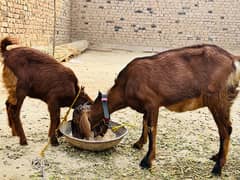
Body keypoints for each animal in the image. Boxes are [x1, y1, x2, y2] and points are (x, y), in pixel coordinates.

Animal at [72, 44, 240, 176]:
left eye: (74, 122)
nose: (77, 136)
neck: (125, 86)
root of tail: (232, 59)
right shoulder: (147, 108)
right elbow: (144, 123)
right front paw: (139, 144)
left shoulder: (153, 103)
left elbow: (152, 129)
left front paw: (147, 161)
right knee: (226, 129)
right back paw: (216, 157)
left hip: (217, 100)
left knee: (225, 130)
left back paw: (217, 168)